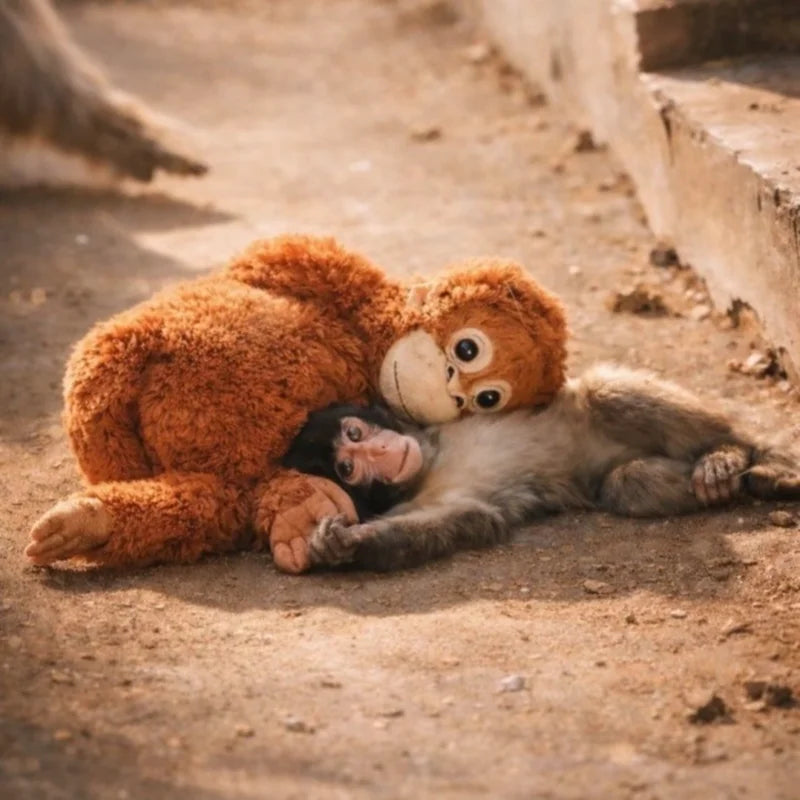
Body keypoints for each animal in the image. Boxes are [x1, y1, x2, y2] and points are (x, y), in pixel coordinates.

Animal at [285, 364, 800, 572]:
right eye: (347, 468)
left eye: (355, 433)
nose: (380, 453)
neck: (429, 461)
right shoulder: (417, 504)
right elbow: (469, 519)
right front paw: (344, 546)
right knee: (626, 484)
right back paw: (734, 478)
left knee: (603, 392)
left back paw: (733, 453)